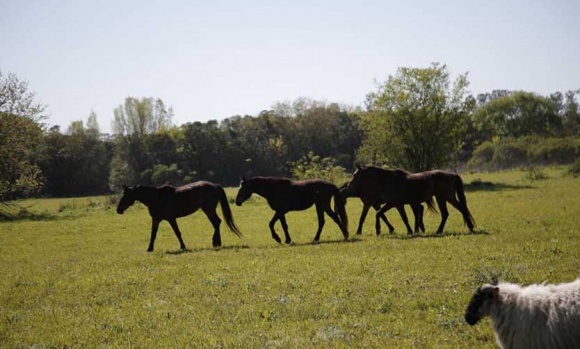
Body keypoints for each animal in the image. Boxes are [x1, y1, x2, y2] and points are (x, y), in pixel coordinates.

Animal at [342, 164, 474, 235]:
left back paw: (440, 230)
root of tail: (453, 175)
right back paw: (470, 227)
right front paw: (410, 231)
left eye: (355, 175)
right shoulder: (397, 205)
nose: (348, 185)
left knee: (448, 213)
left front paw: (378, 230)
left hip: (444, 197)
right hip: (445, 198)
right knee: (459, 209)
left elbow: (380, 214)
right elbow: (402, 218)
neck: (387, 181)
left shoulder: (392, 204)